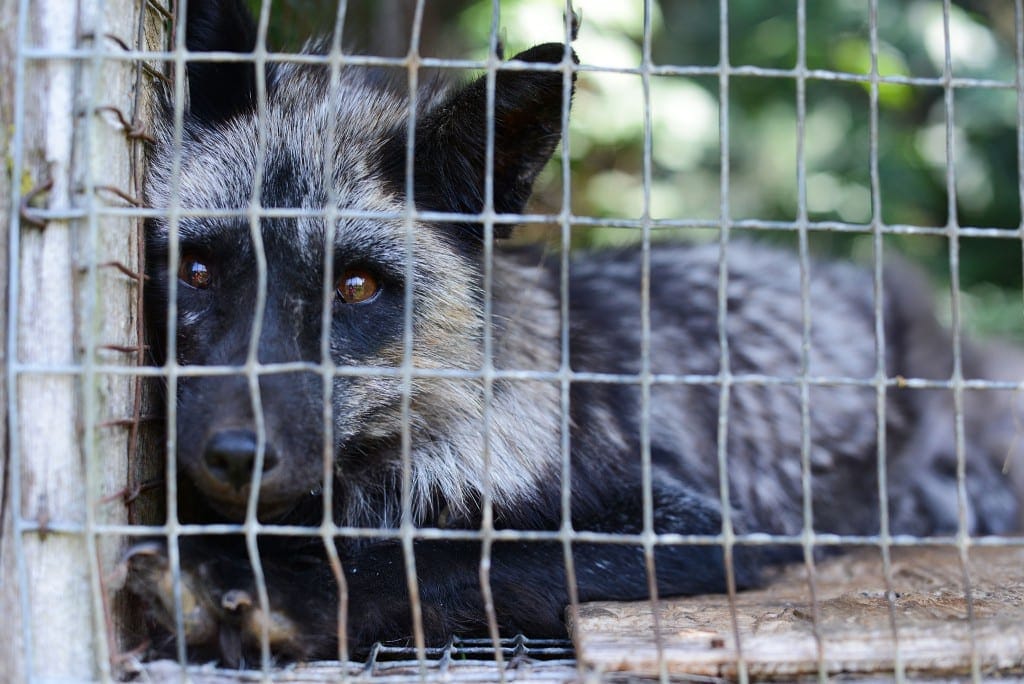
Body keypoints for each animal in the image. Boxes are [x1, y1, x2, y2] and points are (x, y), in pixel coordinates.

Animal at [128, 0, 1024, 663]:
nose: (236, 454)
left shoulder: (692, 522)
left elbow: (454, 554)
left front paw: (282, 593)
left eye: (356, 287)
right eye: (198, 270)